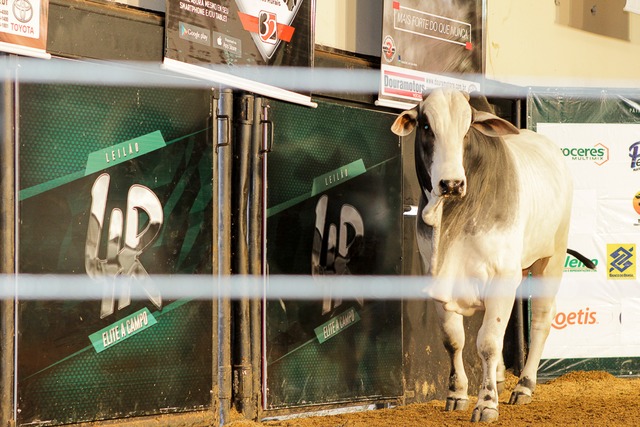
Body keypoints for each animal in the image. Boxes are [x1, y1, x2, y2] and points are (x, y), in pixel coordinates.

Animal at [390, 88, 592, 422]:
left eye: (467, 129)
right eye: (427, 126)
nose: (451, 184)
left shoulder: (501, 275)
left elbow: (486, 342)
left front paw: (486, 403)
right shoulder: (438, 276)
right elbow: (453, 339)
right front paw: (457, 394)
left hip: (550, 259)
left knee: (541, 319)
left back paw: (523, 386)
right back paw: (498, 377)